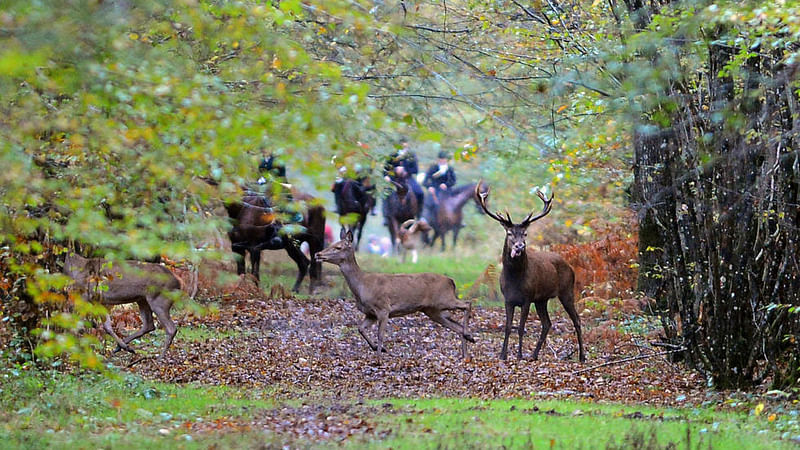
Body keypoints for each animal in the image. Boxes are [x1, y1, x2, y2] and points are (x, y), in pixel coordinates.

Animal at [314, 230, 476, 360]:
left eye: (338, 247)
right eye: (333, 243)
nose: (318, 254)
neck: (362, 287)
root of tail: (451, 281)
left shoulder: (383, 308)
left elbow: (380, 335)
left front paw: (379, 358)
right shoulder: (370, 313)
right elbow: (360, 329)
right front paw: (379, 349)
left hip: (444, 299)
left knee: (467, 304)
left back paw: (469, 337)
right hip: (432, 310)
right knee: (456, 326)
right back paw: (465, 352)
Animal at [472, 181, 584, 360]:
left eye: (525, 234)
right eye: (509, 233)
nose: (520, 246)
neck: (515, 279)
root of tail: (570, 266)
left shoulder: (527, 298)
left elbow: (520, 328)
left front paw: (518, 355)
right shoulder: (508, 299)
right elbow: (508, 327)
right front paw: (503, 355)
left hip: (566, 291)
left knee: (577, 320)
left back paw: (582, 356)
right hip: (542, 300)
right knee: (547, 323)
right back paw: (534, 355)